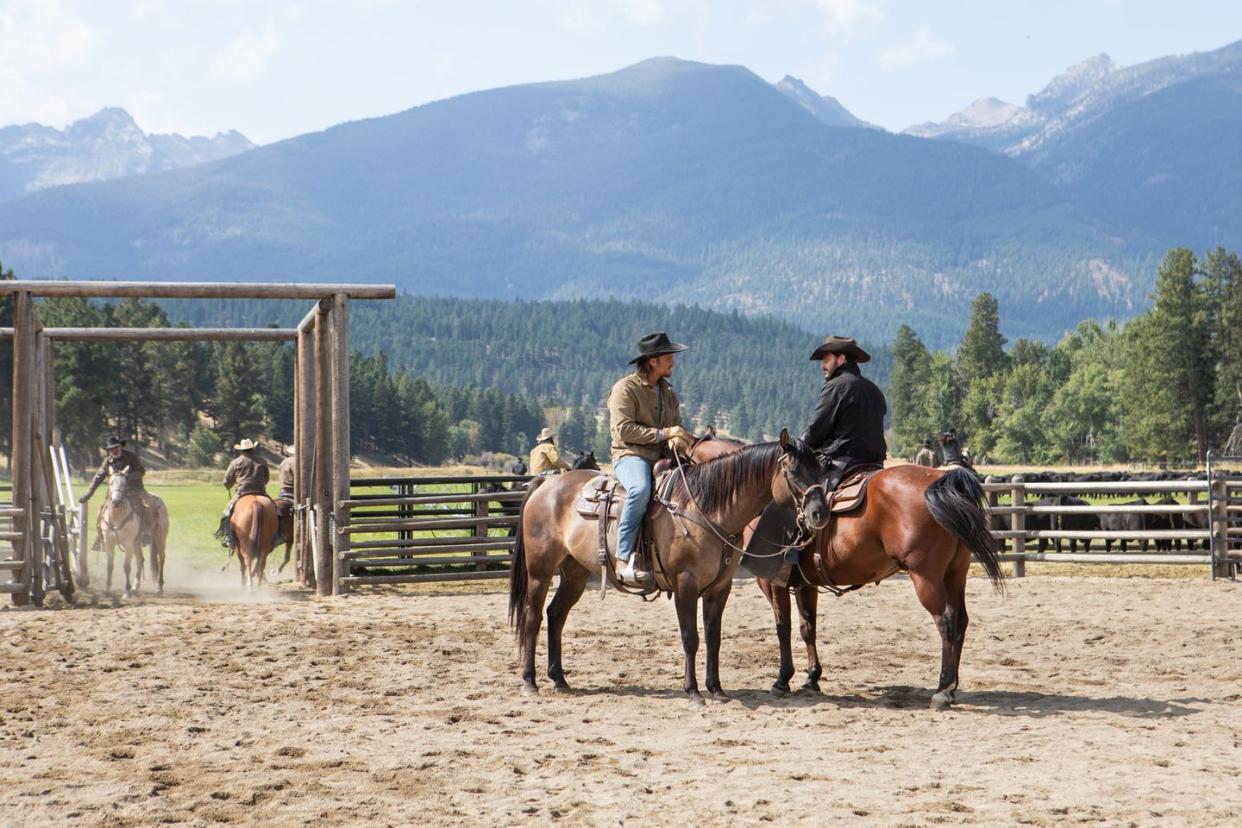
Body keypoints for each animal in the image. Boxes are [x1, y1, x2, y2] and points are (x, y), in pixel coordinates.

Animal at [99, 466, 170, 595]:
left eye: (124, 484)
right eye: (110, 482)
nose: (116, 501)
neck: (116, 517)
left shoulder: (128, 544)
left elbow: (126, 566)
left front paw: (126, 590)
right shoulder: (109, 543)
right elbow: (110, 565)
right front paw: (107, 587)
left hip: (160, 538)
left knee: (160, 558)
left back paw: (159, 586)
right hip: (137, 544)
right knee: (140, 560)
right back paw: (136, 587)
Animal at [509, 431, 829, 710]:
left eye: (819, 468)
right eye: (793, 470)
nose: (820, 514)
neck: (705, 508)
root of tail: (546, 486)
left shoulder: (719, 588)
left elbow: (713, 637)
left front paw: (716, 689)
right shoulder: (685, 585)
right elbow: (690, 638)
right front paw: (693, 692)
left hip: (574, 573)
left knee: (556, 615)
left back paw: (559, 679)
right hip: (540, 571)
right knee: (533, 617)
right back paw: (530, 681)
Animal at [695, 434, 1003, 715]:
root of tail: (939, 480)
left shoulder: (772, 582)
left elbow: (783, 627)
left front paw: (783, 680)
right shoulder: (806, 584)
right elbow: (808, 627)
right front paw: (811, 678)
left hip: (926, 577)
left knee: (946, 620)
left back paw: (942, 690)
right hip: (955, 574)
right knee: (961, 620)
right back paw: (953, 687)